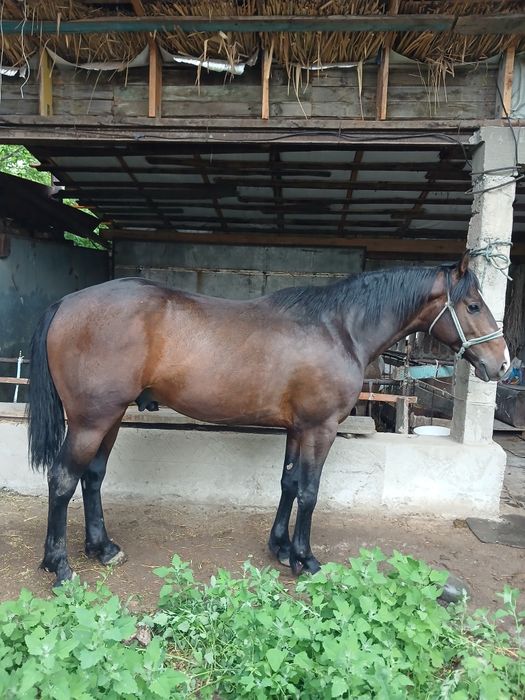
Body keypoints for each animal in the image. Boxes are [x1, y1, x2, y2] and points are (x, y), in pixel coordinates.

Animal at [27, 252, 509, 587]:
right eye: (472, 306)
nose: (503, 364)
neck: (338, 328)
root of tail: (67, 303)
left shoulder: (298, 429)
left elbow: (289, 483)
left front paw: (279, 548)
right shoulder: (320, 428)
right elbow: (310, 492)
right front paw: (305, 559)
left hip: (108, 419)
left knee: (92, 477)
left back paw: (102, 549)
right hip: (91, 420)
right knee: (62, 480)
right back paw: (59, 566)